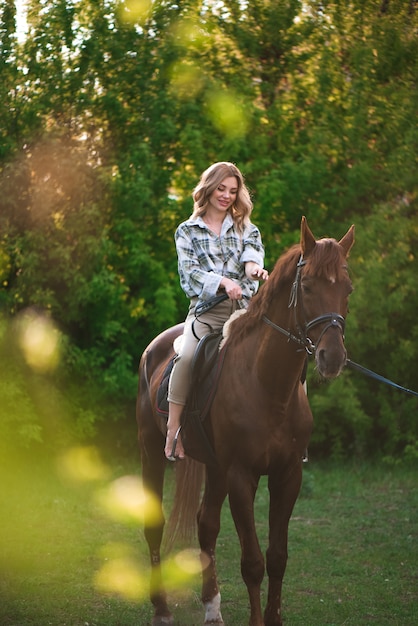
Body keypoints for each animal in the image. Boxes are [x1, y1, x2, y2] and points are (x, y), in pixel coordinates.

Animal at [137, 216, 352, 624]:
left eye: (347, 288)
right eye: (308, 286)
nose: (332, 358)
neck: (269, 388)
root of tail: (153, 348)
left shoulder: (287, 475)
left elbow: (278, 557)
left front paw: (274, 617)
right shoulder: (241, 475)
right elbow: (252, 562)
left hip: (215, 467)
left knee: (205, 524)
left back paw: (212, 607)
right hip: (154, 452)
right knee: (155, 525)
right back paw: (161, 608)